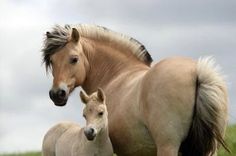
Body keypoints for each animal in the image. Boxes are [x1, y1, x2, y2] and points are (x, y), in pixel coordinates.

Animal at [41, 24, 228, 156]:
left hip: (168, 147)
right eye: (52, 61)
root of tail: (197, 72)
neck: (116, 74)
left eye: (74, 59)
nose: (56, 94)